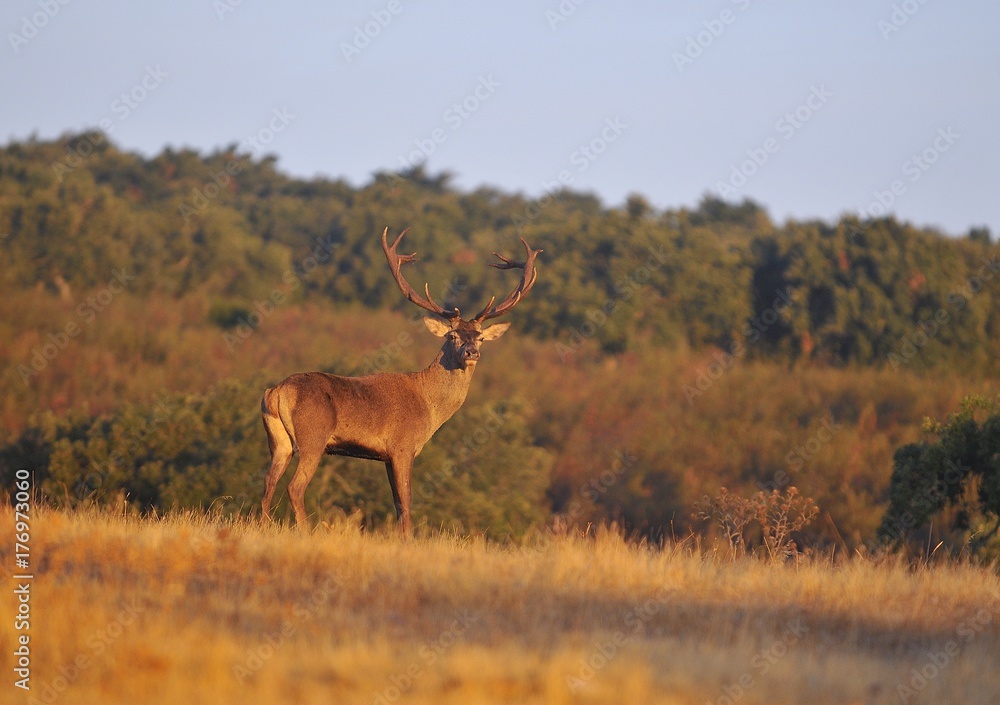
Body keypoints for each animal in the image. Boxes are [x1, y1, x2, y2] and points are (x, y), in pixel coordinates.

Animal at [260, 227, 542, 535]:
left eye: (480, 337)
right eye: (452, 335)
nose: (471, 352)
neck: (430, 407)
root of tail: (276, 392)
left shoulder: (386, 456)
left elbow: (396, 504)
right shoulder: (403, 446)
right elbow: (406, 505)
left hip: (279, 441)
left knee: (267, 482)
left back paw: (262, 524)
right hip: (313, 438)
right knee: (295, 487)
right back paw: (307, 531)